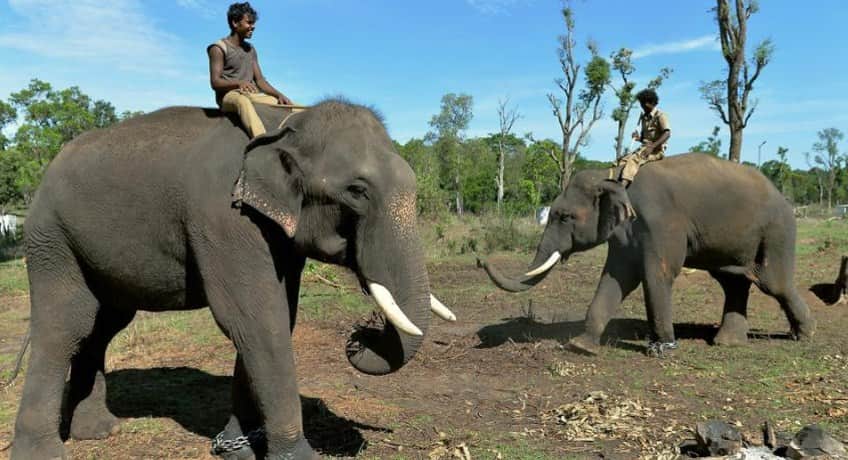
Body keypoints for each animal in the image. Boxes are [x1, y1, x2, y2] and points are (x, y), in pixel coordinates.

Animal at [9, 100, 454, 460]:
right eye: (357, 191)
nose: (362, 331)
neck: (283, 124)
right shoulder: (225, 218)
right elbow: (254, 319)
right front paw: (296, 456)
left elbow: (276, 317)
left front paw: (234, 448)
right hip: (51, 237)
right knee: (66, 325)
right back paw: (44, 452)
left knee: (101, 328)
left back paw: (98, 432)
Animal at [476, 155, 816, 356]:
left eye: (564, 216)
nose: (480, 259)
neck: (613, 175)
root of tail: (783, 197)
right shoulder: (623, 234)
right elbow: (616, 277)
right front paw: (581, 346)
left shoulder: (661, 221)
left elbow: (657, 274)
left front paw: (661, 348)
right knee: (733, 281)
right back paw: (726, 342)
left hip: (776, 231)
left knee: (772, 282)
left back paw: (805, 335)